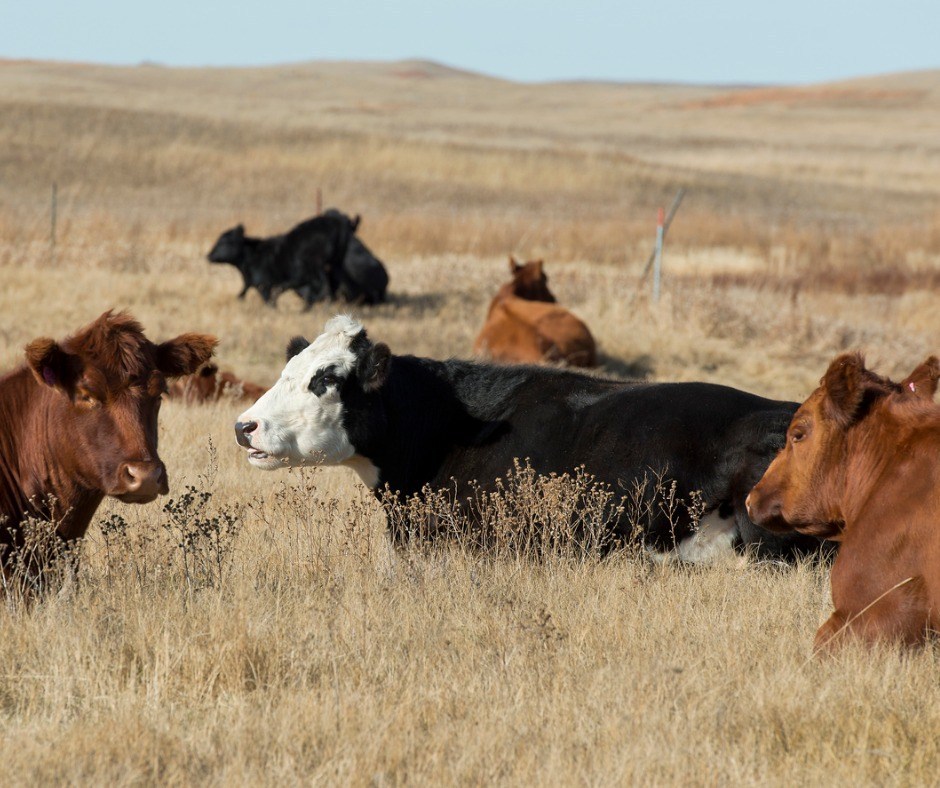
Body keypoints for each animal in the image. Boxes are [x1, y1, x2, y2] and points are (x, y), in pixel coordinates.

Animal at [208, 206, 390, 308]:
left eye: (225, 241)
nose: (209, 255)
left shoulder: (264, 283)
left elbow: (271, 297)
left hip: (318, 265)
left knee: (323, 287)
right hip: (335, 264)